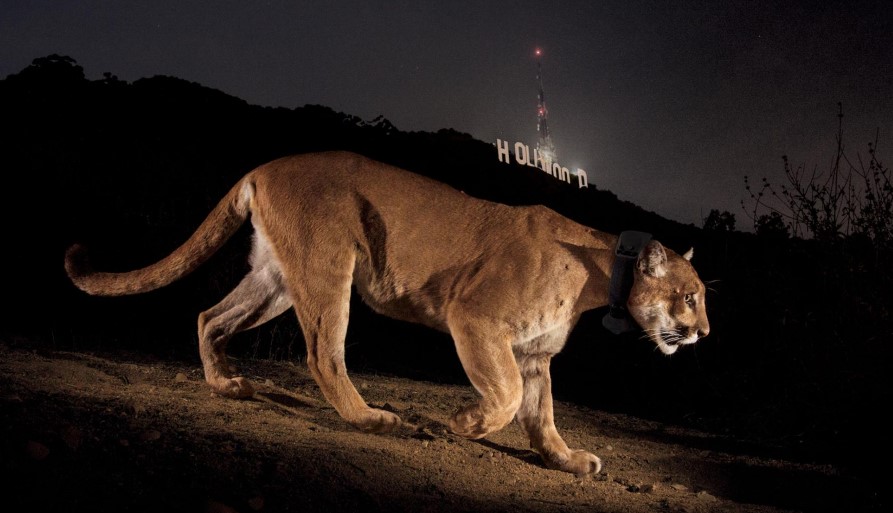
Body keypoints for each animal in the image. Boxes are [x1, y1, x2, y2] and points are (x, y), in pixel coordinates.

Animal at [64, 150, 712, 474]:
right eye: (690, 296)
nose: (704, 331)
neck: (600, 272)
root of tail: (265, 166)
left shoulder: (534, 354)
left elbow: (541, 415)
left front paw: (567, 459)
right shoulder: (476, 319)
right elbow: (504, 398)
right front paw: (464, 423)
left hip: (276, 279)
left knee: (209, 317)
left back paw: (227, 384)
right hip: (329, 266)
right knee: (323, 354)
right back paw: (374, 419)